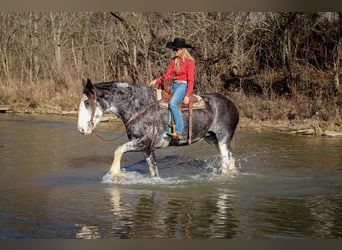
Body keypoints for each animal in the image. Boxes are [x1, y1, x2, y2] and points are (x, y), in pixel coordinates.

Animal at [77, 78, 239, 178]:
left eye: (87, 102)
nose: (81, 129)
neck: (139, 106)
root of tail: (232, 104)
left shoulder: (144, 142)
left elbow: (119, 150)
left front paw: (114, 173)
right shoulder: (147, 148)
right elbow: (153, 171)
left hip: (223, 138)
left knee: (226, 161)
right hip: (212, 139)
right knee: (231, 158)